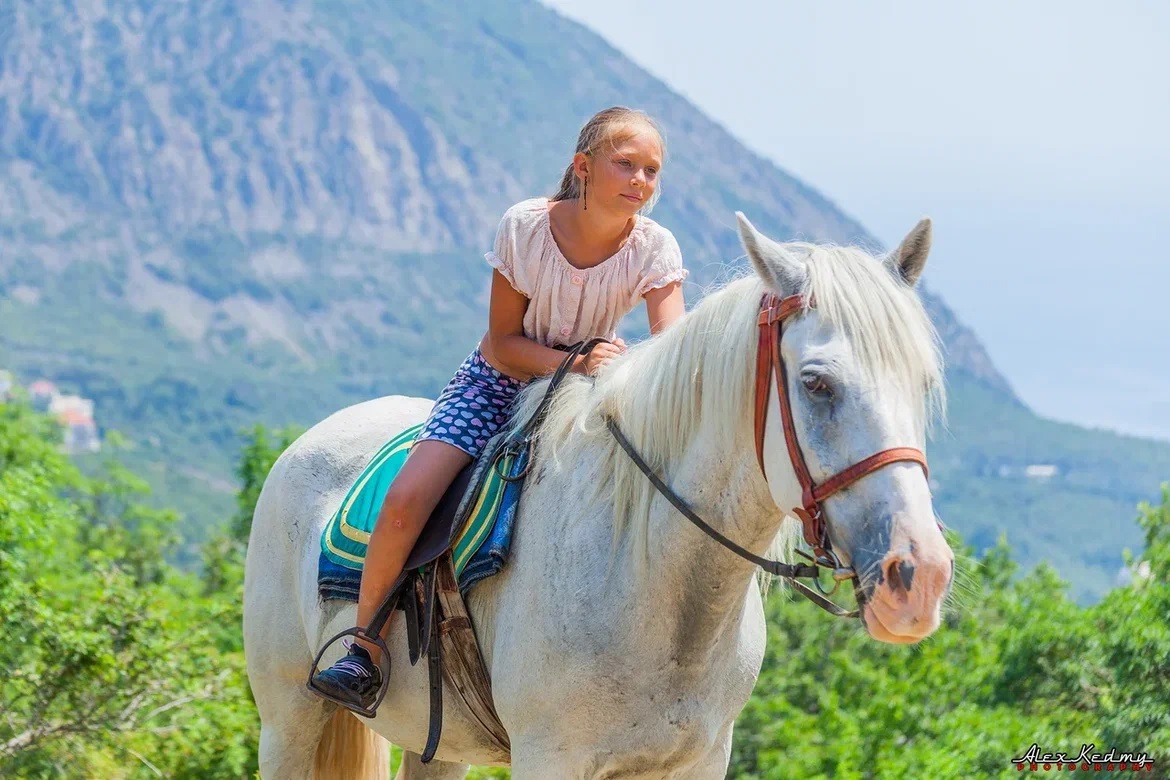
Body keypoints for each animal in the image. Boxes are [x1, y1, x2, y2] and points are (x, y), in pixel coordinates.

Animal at [243, 213, 956, 779]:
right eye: (815, 383)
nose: (918, 576)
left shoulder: (698, 762)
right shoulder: (550, 758)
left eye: (923, 383)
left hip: (435, 746)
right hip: (288, 720)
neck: (646, 571)